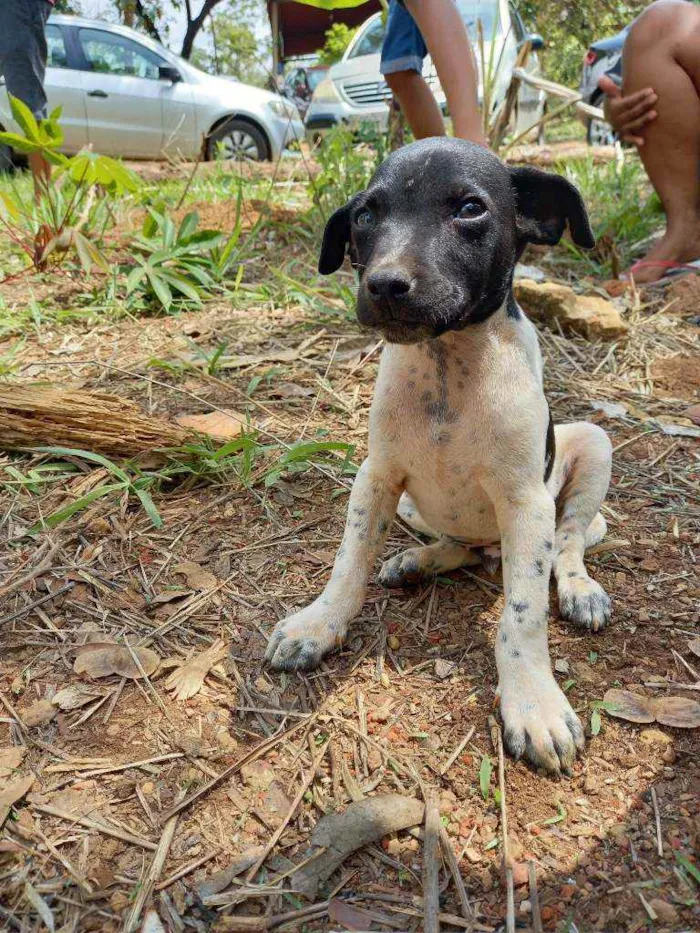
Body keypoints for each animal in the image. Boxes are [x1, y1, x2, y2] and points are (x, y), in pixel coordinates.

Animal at [268, 138, 612, 776]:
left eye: (470, 208)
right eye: (365, 215)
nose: (384, 284)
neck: (449, 367)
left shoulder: (526, 503)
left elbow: (522, 613)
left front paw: (533, 704)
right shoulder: (376, 477)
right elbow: (348, 561)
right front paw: (320, 623)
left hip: (593, 447)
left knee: (569, 541)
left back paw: (580, 589)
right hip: (415, 509)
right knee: (459, 546)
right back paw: (419, 561)